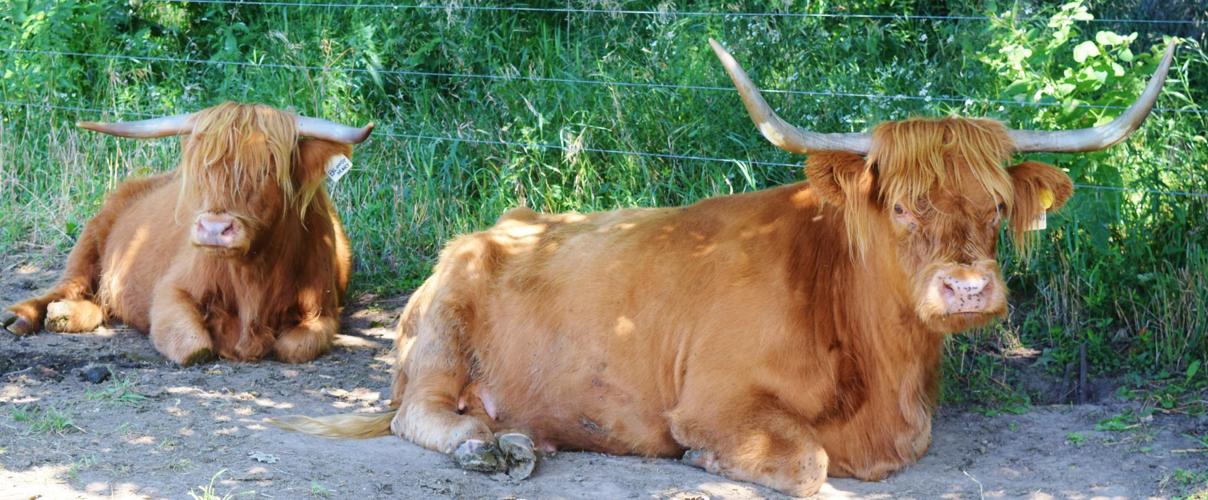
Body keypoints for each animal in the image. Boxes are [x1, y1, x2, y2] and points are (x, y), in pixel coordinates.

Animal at [2, 102, 373, 365]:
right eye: (200, 170)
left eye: (268, 168)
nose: (214, 229)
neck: (253, 277)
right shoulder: (170, 293)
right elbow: (195, 347)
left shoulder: (324, 310)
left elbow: (293, 348)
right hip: (90, 238)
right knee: (70, 285)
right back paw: (25, 316)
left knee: (100, 302)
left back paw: (65, 316)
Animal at [271, 40, 1174, 496]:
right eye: (902, 206)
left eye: (993, 205)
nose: (968, 289)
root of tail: (483, 234)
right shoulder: (713, 402)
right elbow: (807, 466)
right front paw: (709, 465)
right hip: (438, 346)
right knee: (419, 416)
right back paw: (491, 452)